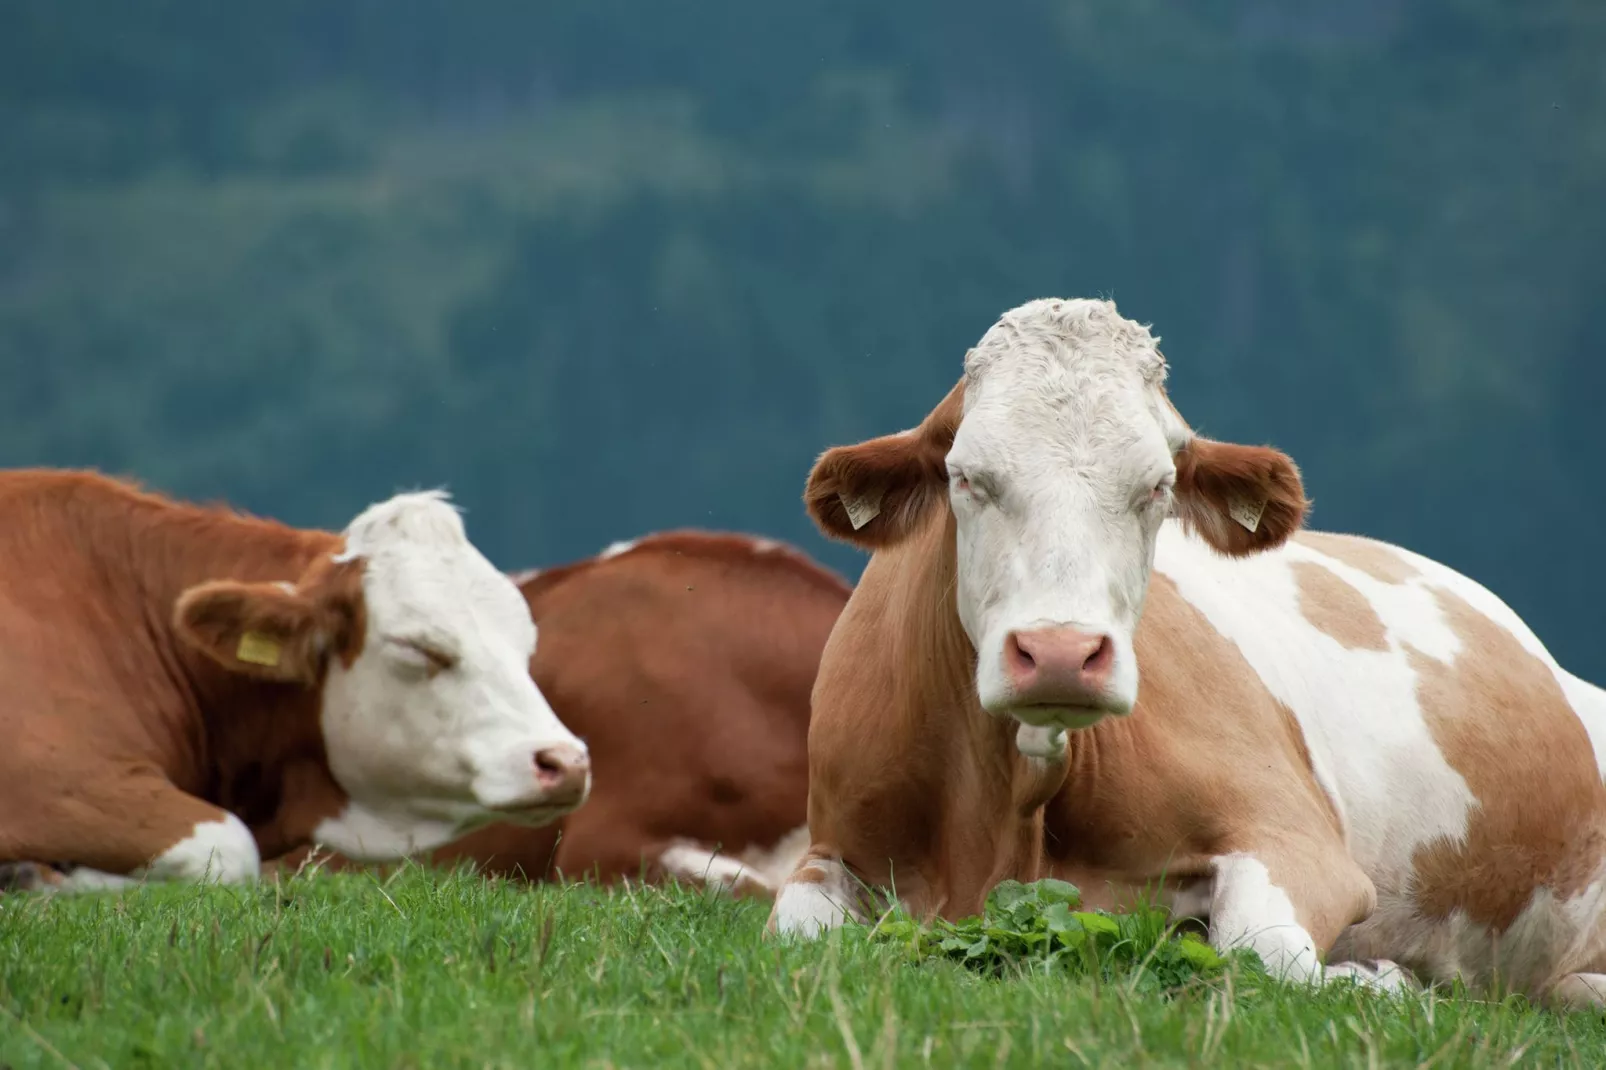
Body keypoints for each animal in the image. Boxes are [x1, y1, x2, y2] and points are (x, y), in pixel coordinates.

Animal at [764, 295, 1606, 1002]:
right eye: (966, 477)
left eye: (1157, 487)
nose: (1062, 653)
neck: (1006, 826)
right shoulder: (832, 842)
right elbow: (799, 933)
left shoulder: (1291, 834)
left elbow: (1262, 951)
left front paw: (1380, 978)